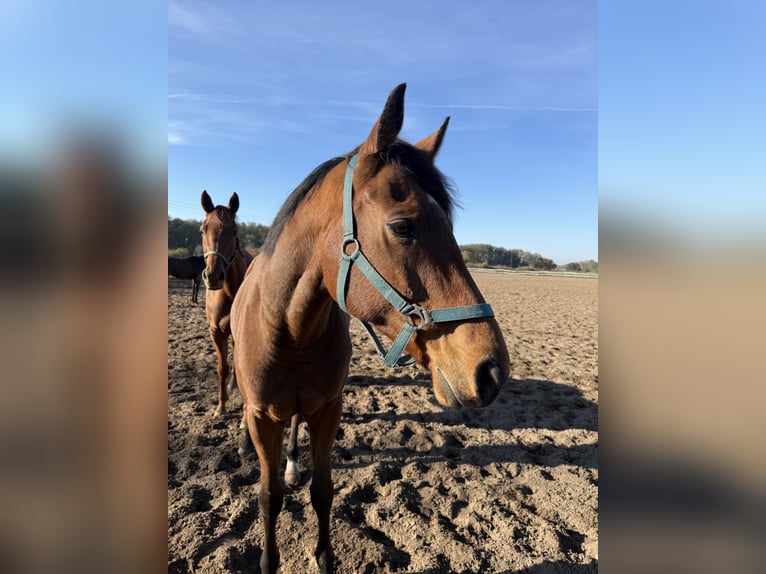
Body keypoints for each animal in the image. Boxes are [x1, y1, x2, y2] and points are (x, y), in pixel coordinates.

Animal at [230, 83, 510, 574]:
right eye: (403, 226)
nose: (492, 370)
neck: (290, 329)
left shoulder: (328, 409)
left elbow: (322, 491)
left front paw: (324, 558)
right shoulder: (263, 417)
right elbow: (269, 497)